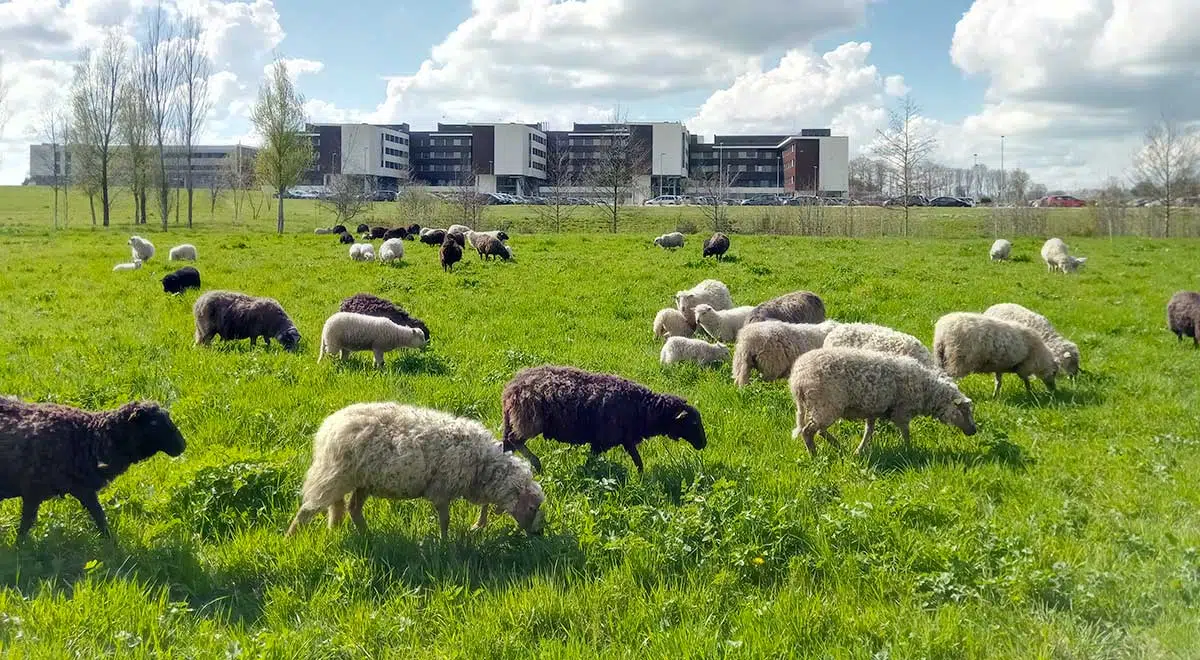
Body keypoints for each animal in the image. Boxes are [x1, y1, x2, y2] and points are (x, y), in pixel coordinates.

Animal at [1, 398, 186, 542]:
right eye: (153, 424)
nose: (182, 446)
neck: (89, 436)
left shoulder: (83, 489)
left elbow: (99, 515)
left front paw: (112, 543)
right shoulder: (33, 490)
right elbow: (26, 523)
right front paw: (20, 549)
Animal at [283, 405, 547, 540]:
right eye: (532, 508)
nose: (539, 533)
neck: (481, 464)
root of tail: (329, 426)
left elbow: (483, 505)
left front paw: (477, 525)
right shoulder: (441, 489)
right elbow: (445, 520)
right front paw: (445, 543)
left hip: (363, 481)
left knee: (353, 509)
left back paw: (369, 538)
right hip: (335, 474)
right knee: (308, 508)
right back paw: (290, 538)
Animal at [501, 364, 705, 472]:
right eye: (693, 423)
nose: (704, 444)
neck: (644, 409)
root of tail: (512, 387)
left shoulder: (625, 439)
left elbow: (638, 461)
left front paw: (641, 478)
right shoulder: (603, 441)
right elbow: (591, 461)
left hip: (513, 421)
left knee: (507, 445)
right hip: (528, 421)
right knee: (515, 441)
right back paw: (536, 464)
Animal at [787, 345, 974, 460]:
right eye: (964, 410)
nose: (974, 430)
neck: (926, 389)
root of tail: (798, 379)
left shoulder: (873, 409)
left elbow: (869, 431)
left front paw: (859, 450)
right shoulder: (902, 411)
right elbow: (906, 433)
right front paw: (910, 450)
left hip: (823, 407)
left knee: (819, 430)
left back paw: (840, 447)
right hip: (825, 404)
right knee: (808, 432)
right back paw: (814, 456)